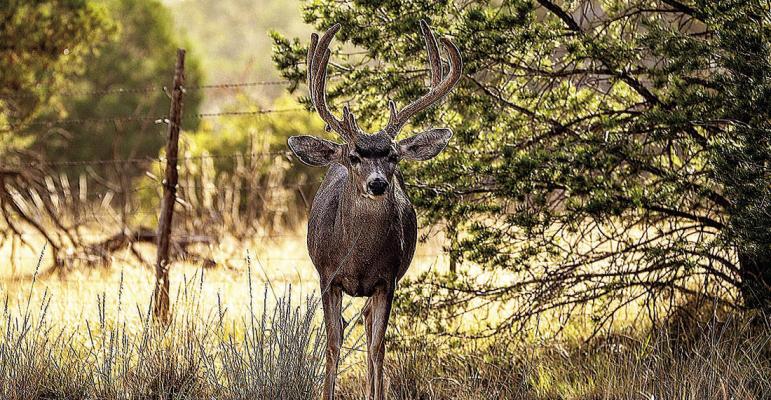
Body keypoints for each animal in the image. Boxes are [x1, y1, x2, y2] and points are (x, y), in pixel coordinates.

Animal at [287, 20, 462, 400]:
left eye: (393, 155)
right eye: (354, 156)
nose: (378, 183)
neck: (360, 260)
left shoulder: (388, 279)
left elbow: (378, 346)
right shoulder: (327, 276)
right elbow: (333, 344)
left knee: (368, 326)